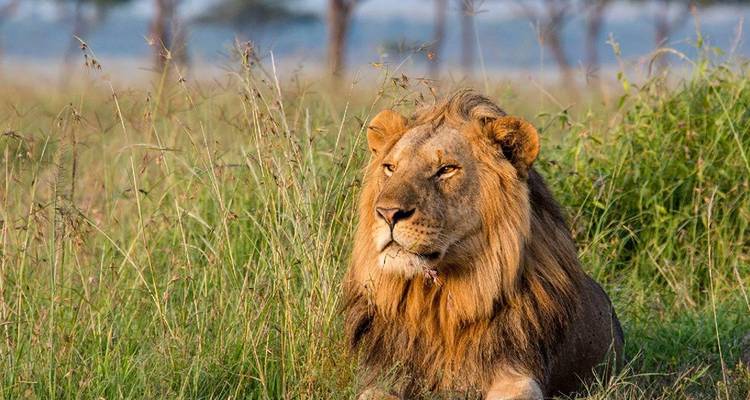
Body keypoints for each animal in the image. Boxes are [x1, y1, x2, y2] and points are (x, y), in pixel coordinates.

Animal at [342, 89, 624, 400]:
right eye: (390, 168)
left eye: (446, 169)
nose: (387, 213)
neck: (441, 303)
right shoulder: (383, 375)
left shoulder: (518, 371)